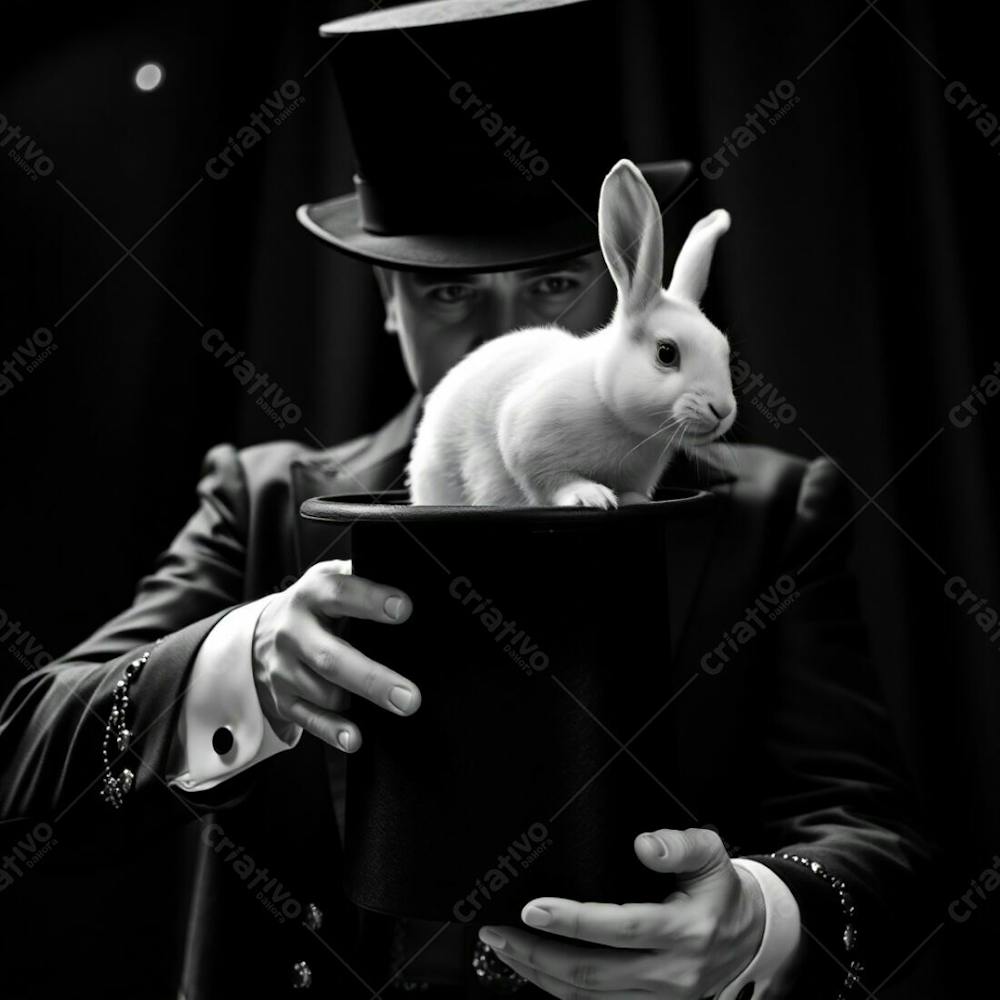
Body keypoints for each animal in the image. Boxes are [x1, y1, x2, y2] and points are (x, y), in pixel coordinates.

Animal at [402, 161, 740, 512]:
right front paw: (591, 496)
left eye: (724, 351)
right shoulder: (526, 438)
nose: (722, 410)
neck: (618, 417)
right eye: (666, 352)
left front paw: (633, 500)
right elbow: (553, 481)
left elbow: (629, 490)